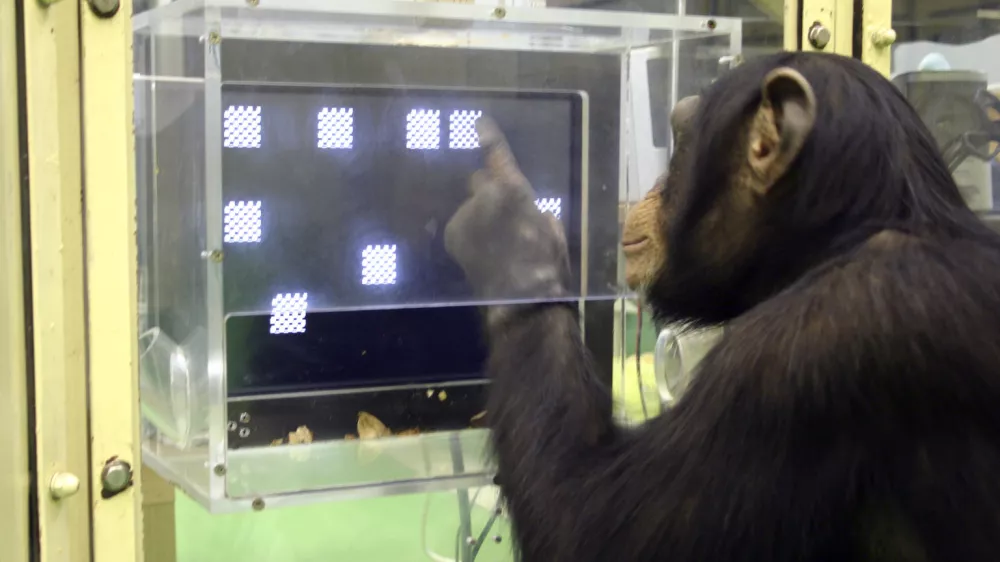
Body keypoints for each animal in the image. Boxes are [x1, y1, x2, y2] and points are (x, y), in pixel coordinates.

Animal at [443, 51, 1000, 562]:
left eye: (679, 140)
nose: (647, 191)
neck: (839, 235)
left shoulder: (799, 353)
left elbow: (586, 530)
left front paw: (508, 231)